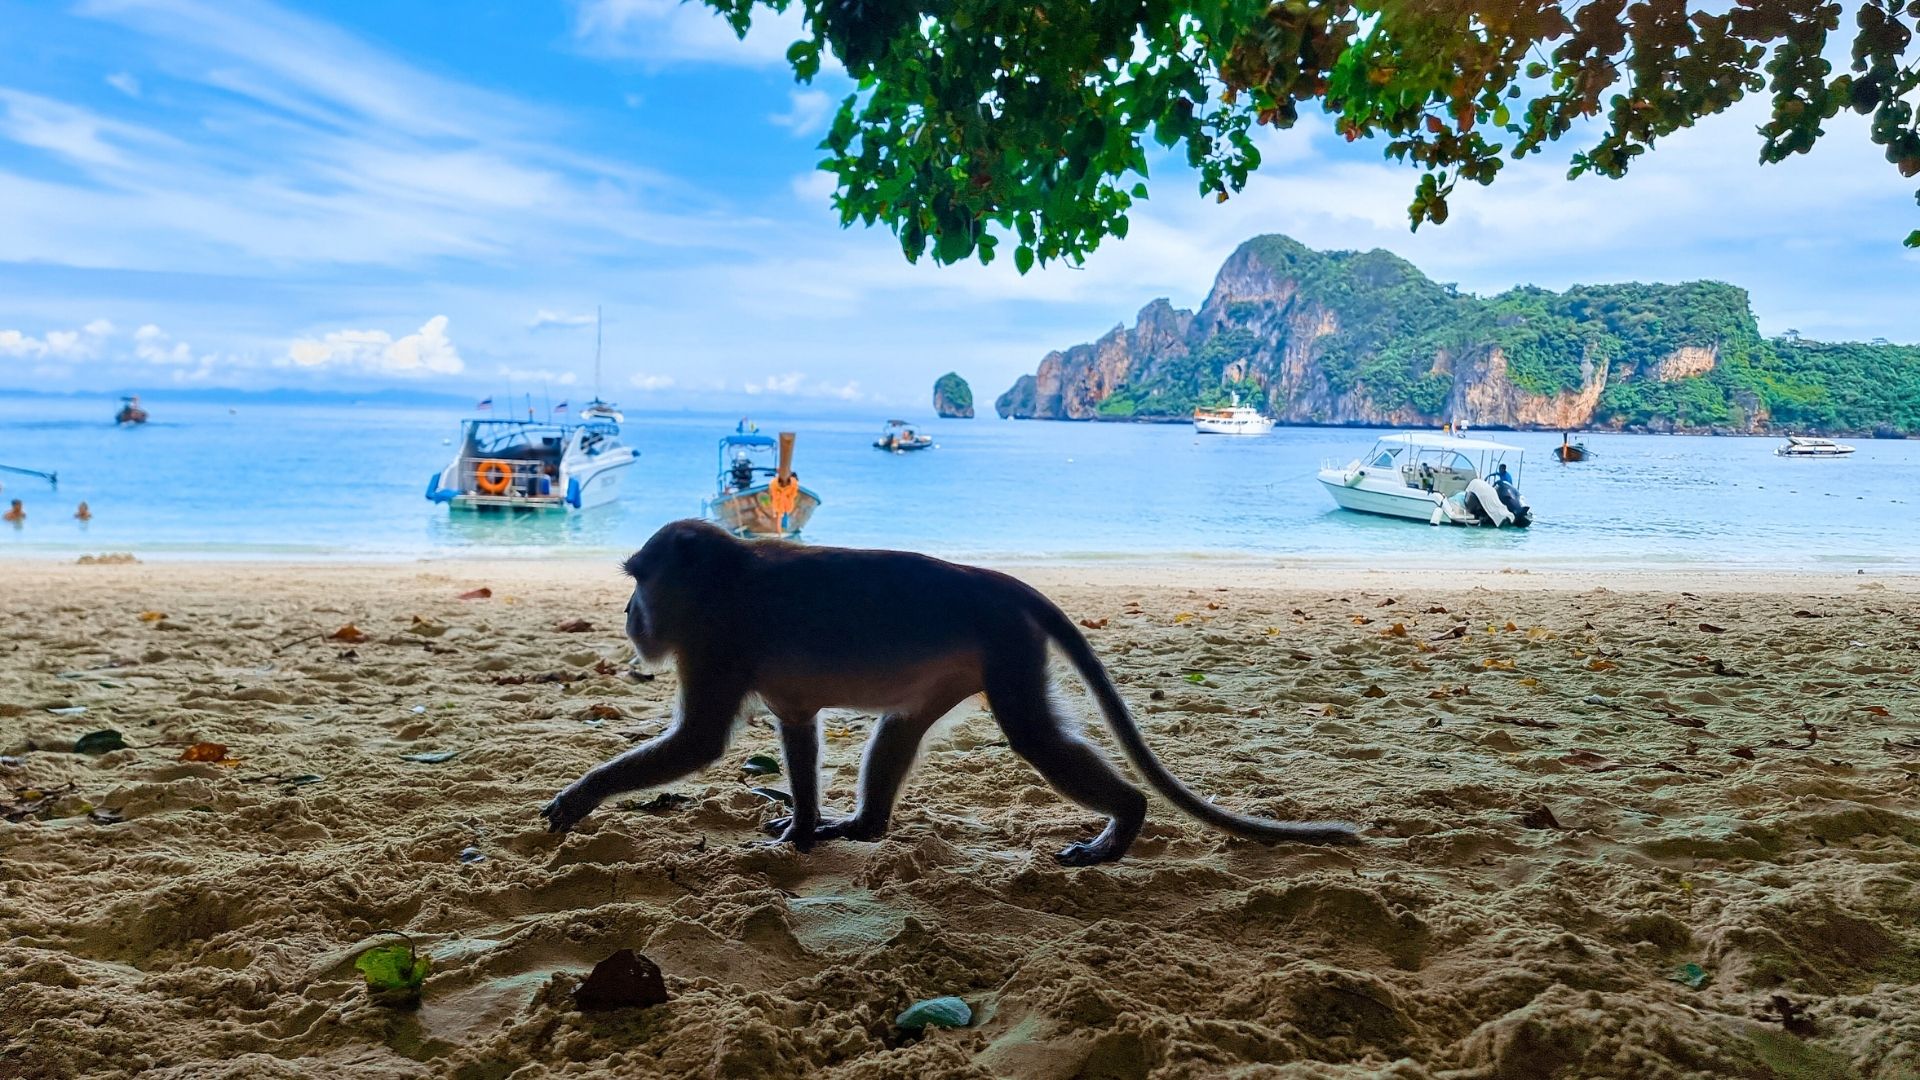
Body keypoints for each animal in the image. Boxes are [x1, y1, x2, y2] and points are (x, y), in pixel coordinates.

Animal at [541, 519, 1360, 865]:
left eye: (639, 580)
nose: (628, 614)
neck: (727, 579)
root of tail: (998, 582)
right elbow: (798, 729)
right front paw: (802, 828)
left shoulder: (716, 644)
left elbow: (701, 743)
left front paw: (579, 798)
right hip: (958, 667)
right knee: (902, 726)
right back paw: (861, 827)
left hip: (1005, 646)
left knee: (1033, 736)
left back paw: (1125, 821)